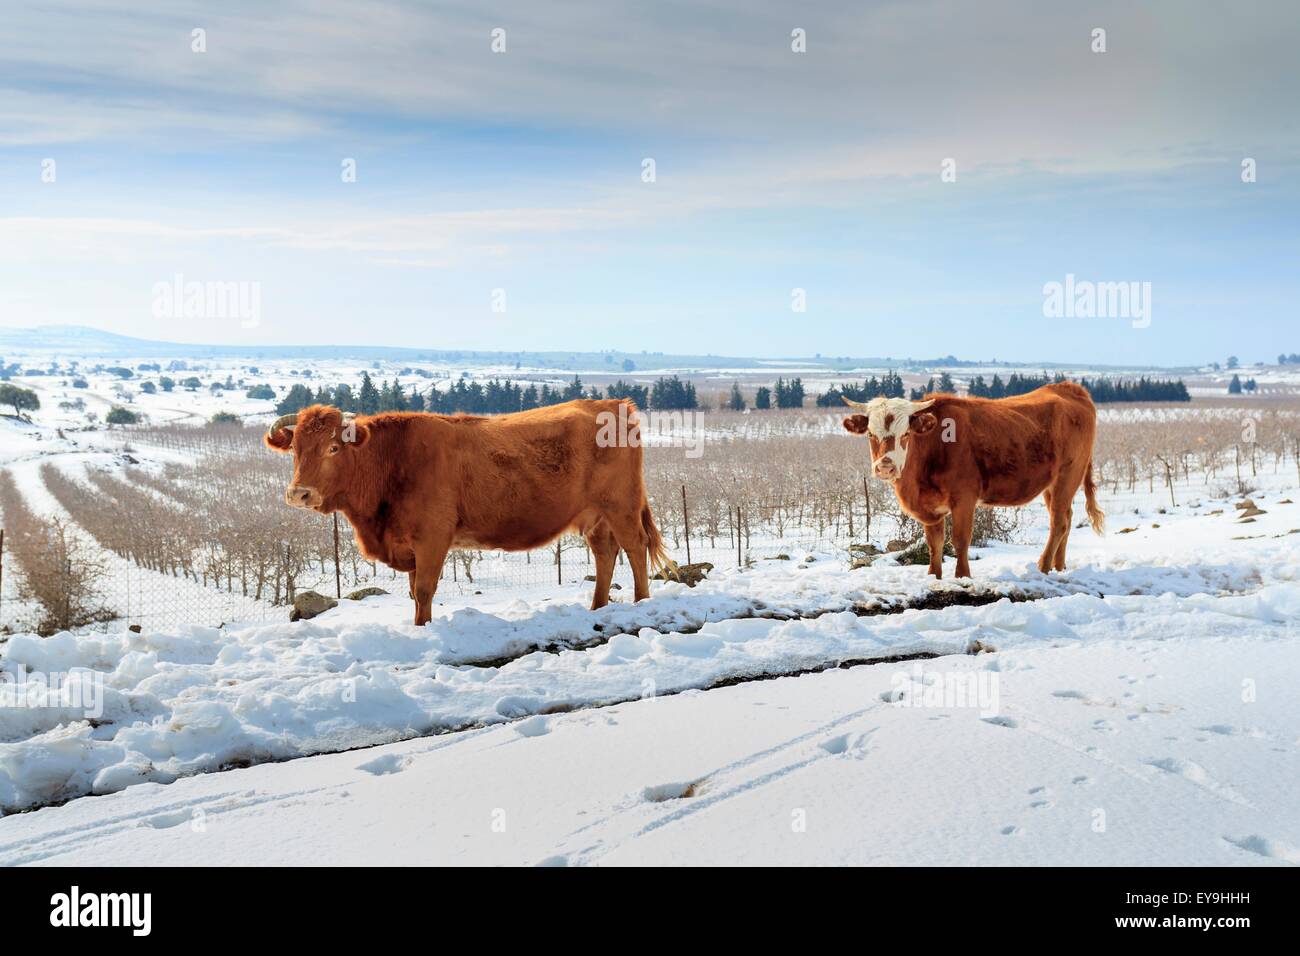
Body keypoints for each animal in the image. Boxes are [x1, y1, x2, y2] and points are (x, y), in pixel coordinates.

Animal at [265, 400, 668, 626]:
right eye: (296, 449)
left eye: (333, 447)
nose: (299, 493)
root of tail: (613, 403)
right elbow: (414, 593)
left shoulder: (432, 538)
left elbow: (424, 590)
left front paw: (422, 629)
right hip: (595, 517)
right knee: (605, 553)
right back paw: (597, 608)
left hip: (621, 505)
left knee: (634, 547)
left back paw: (641, 602)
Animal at [842, 381, 1104, 579]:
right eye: (870, 434)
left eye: (905, 434)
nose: (885, 466)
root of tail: (1069, 387)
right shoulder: (931, 506)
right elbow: (934, 543)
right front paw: (933, 576)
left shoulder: (964, 498)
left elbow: (960, 539)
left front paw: (962, 576)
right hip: (1051, 484)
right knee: (1066, 518)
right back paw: (1060, 567)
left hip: (1068, 475)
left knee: (1058, 522)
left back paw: (1044, 566)